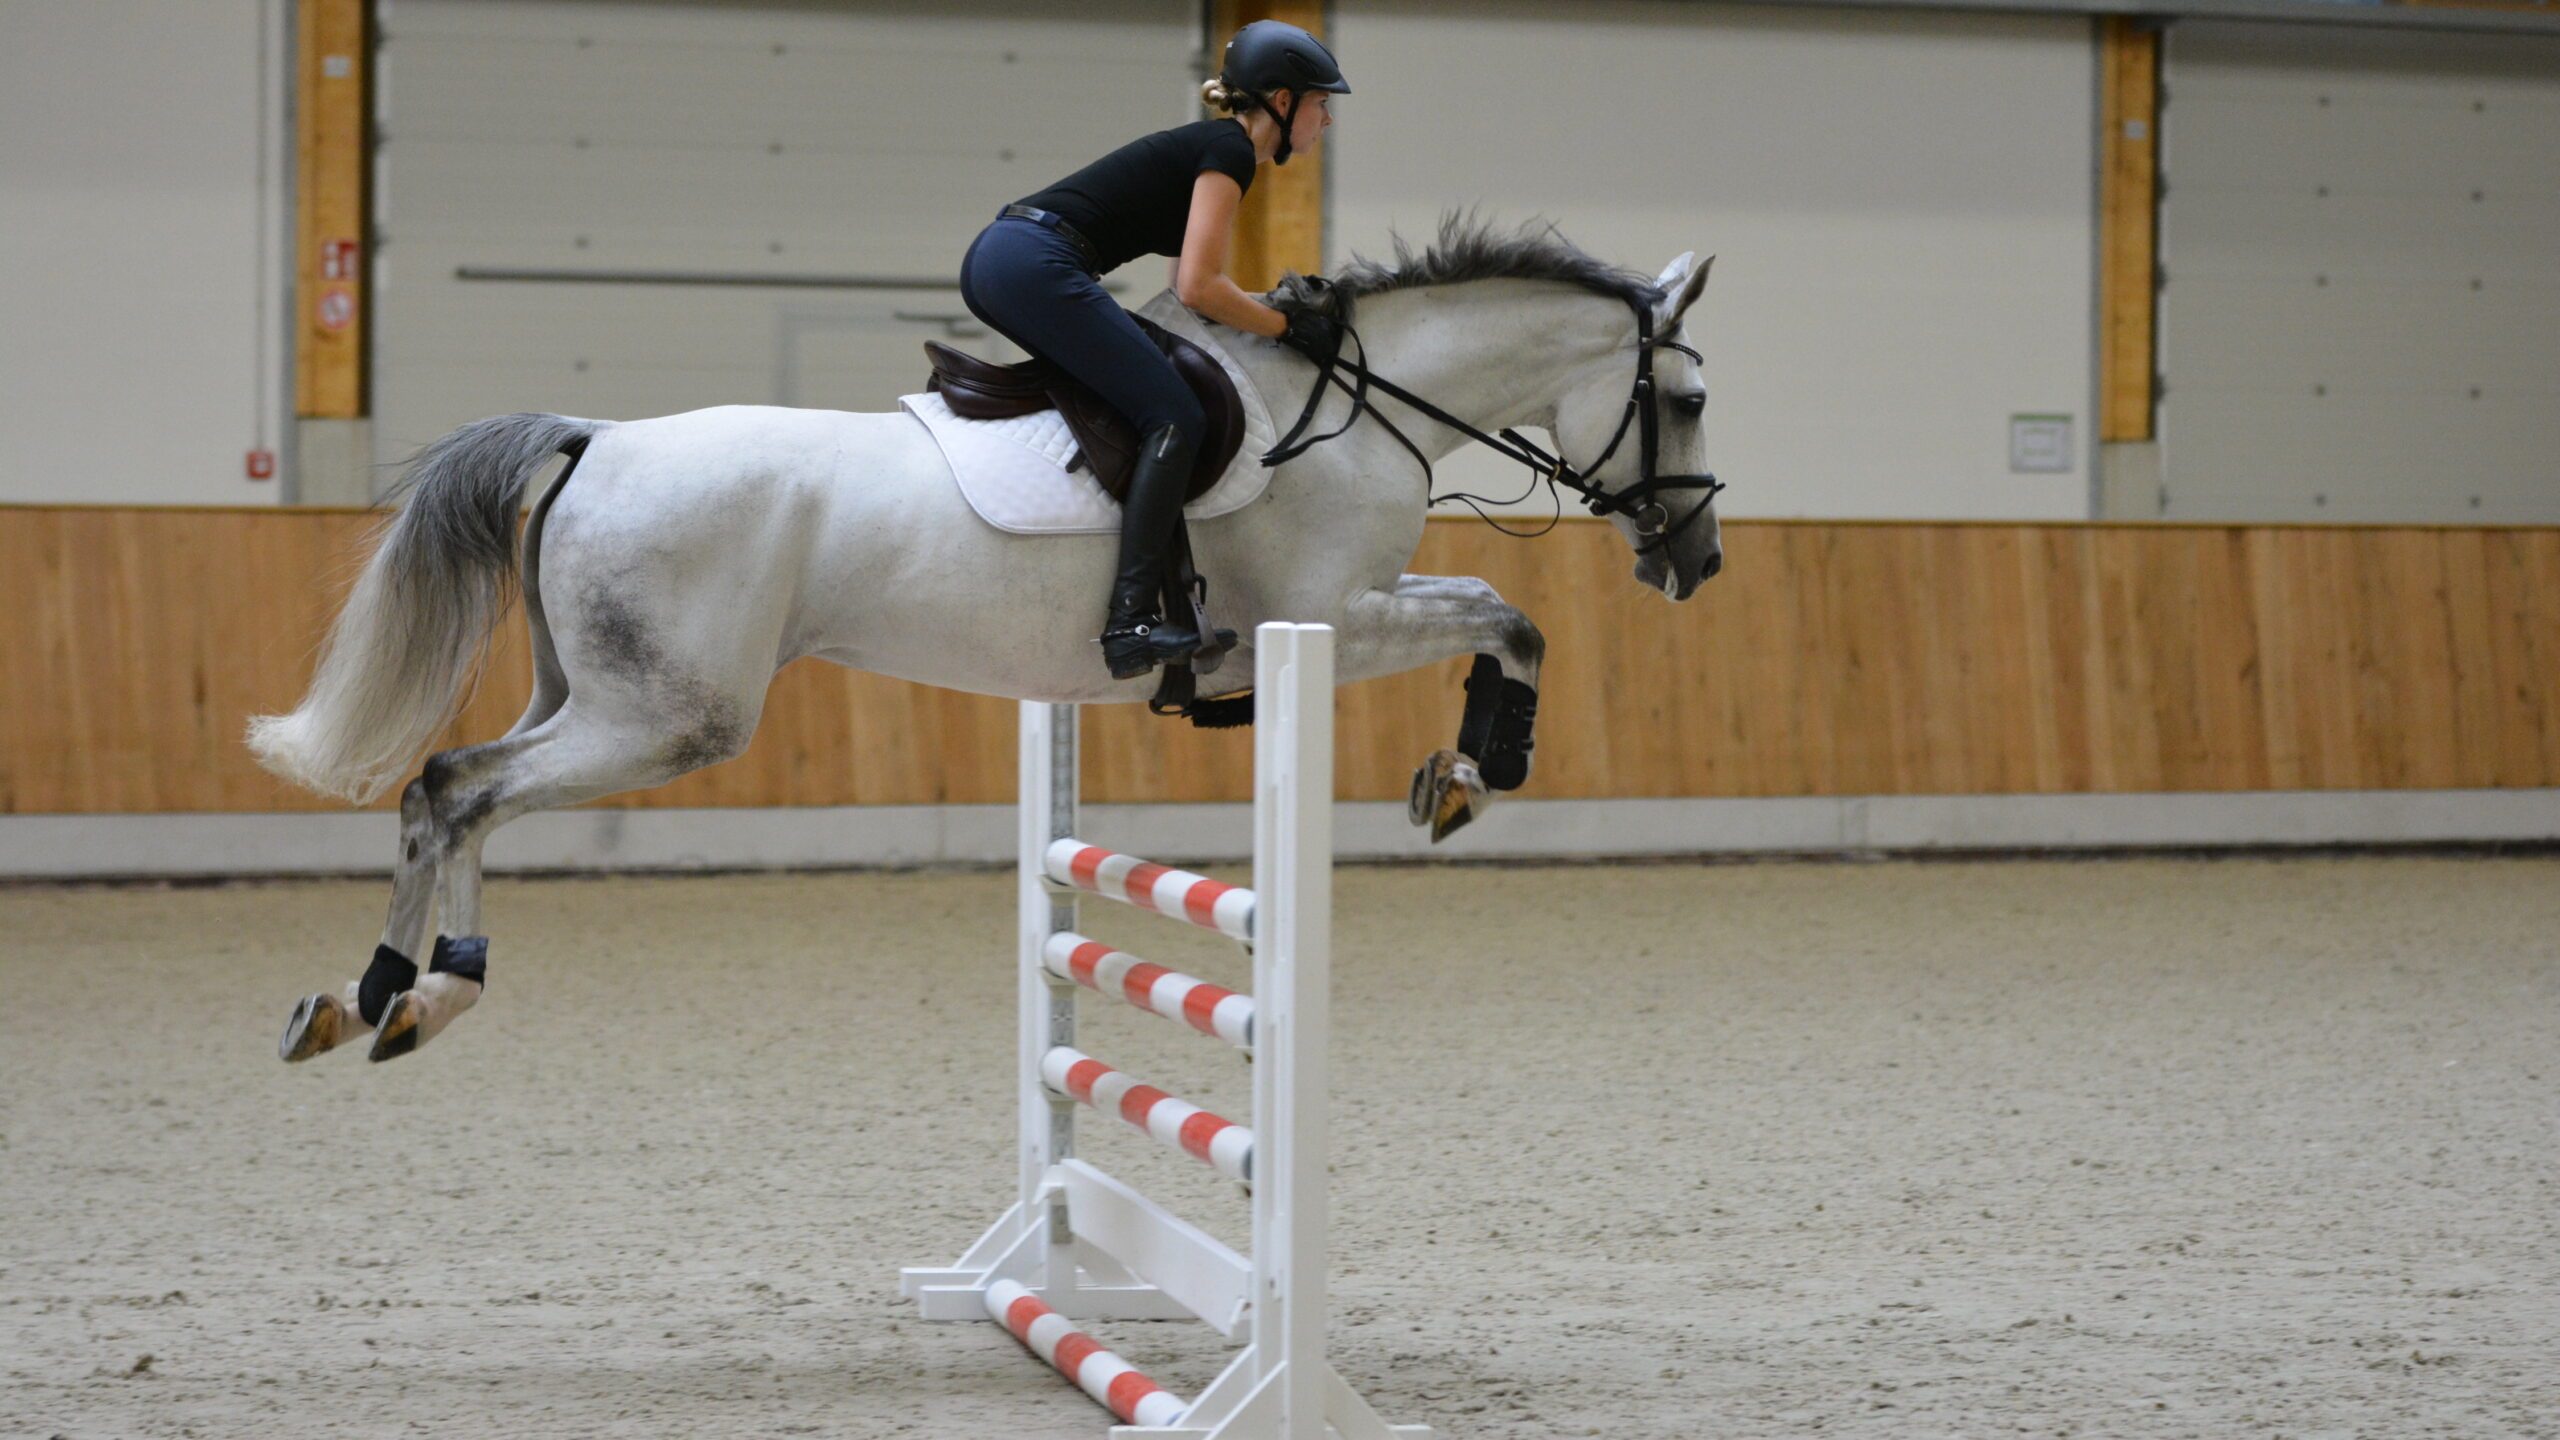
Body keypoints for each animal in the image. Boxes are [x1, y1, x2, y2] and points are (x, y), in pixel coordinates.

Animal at [254, 219, 1720, 1060]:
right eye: (1692, 400)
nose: (1696, 562)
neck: (1365, 408)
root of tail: (596, 436)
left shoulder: (1342, 611)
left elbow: (1495, 609)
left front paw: (1458, 775)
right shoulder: (1317, 622)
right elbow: (1511, 616)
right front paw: (1475, 776)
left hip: (595, 694)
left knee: (450, 794)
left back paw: (378, 995)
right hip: (665, 719)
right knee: (459, 786)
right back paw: (418, 991)